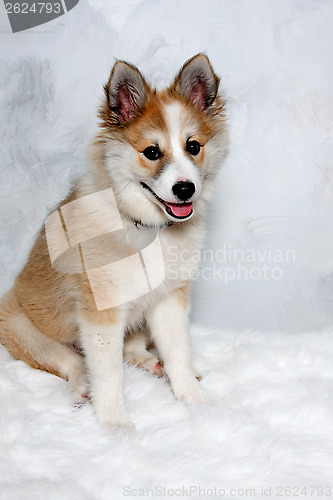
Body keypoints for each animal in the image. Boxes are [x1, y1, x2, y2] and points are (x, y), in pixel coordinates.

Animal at [0, 53, 227, 430]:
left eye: (193, 147)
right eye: (151, 152)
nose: (185, 189)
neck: (147, 227)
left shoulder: (169, 300)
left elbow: (179, 351)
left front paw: (195, 401)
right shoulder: (100, 314)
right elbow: (108, 374)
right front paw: (115, 426)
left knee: (133, 346)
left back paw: (151, 362)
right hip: (21, 328)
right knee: (72, 362)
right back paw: (81, 389)